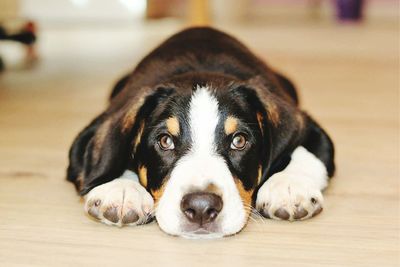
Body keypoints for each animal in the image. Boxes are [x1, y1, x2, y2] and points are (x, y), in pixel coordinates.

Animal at [66, 27, 334, 240]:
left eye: (239, 140)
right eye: (165, 141)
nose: (201, 207)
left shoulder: (307, 125)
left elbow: (305, 152)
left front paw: (289, 187)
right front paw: (121, 190)